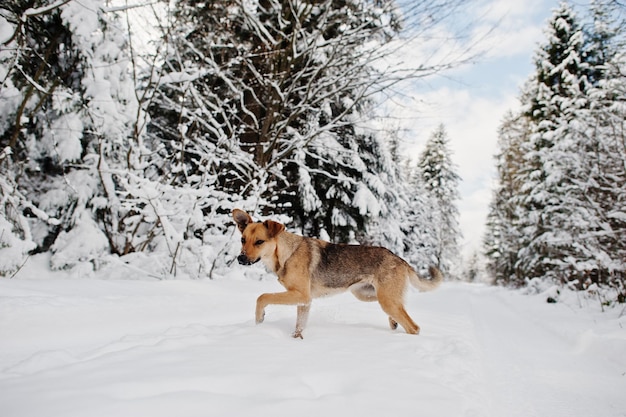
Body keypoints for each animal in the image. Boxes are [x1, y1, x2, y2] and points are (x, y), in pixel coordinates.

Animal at [232, 208, 442, 338]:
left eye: (259, 242)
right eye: (242, 240)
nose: (240, 259)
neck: (285, 253)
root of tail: (399, 259)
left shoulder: (301, 295)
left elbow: (262, 297)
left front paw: (259, 319)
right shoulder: (304, 301)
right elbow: (299, 326)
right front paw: (296, 339)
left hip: (385, 300)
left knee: (414, 327)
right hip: (369, 295)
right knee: (401, 309)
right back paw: (393, 322)